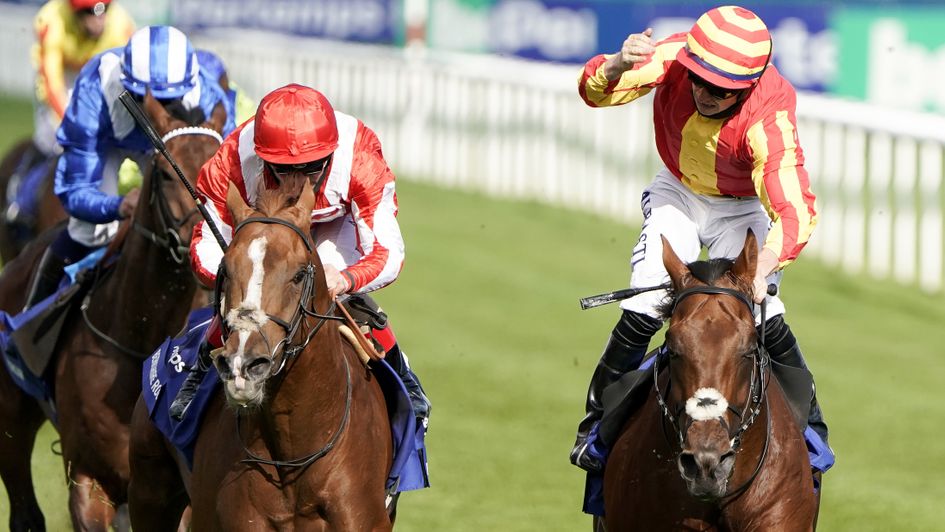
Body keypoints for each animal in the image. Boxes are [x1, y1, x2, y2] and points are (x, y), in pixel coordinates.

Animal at [0, 96, 225, 532]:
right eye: (166, 173)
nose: (207, 248)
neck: (139, 338)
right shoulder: (90, 479)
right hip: (12, 417)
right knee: (25, 511)